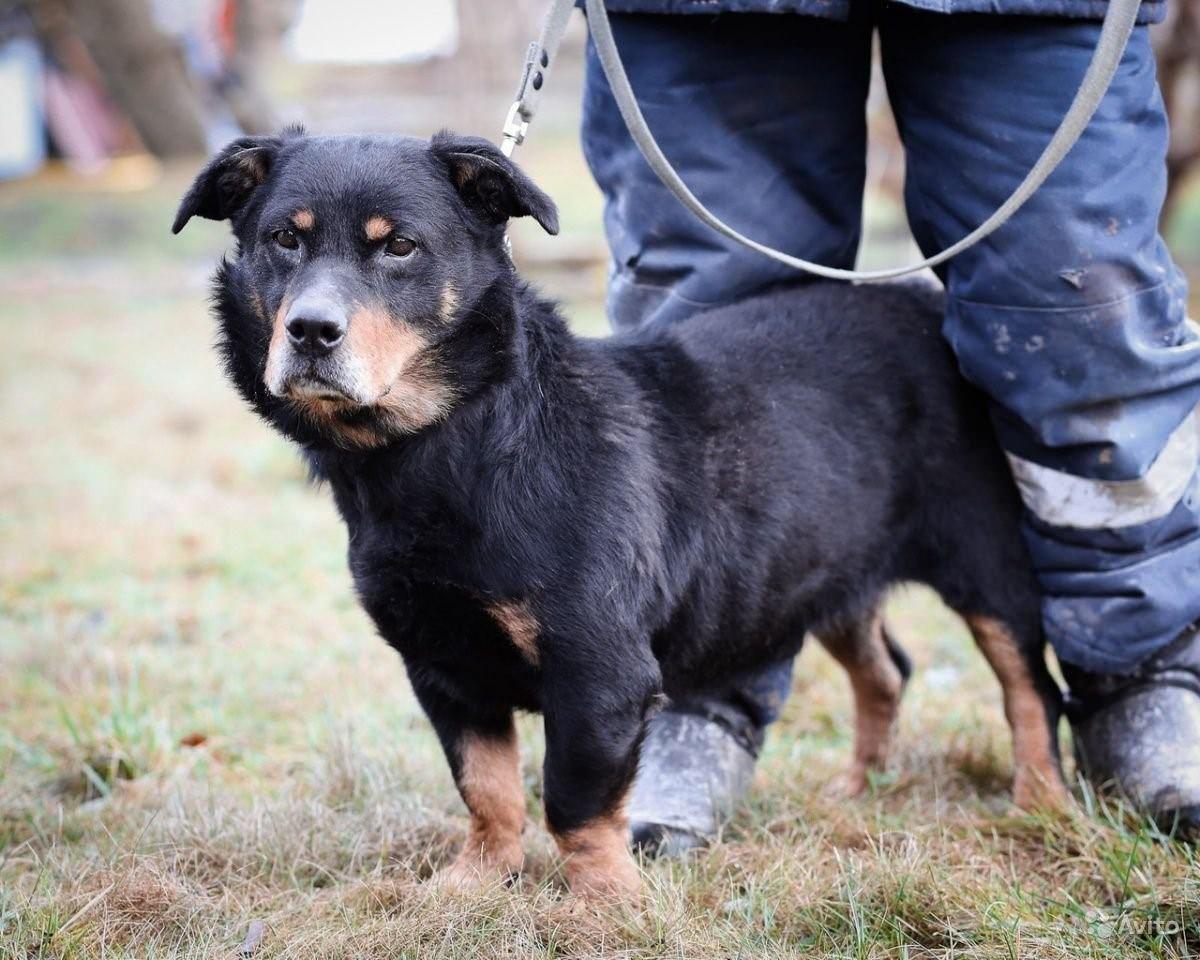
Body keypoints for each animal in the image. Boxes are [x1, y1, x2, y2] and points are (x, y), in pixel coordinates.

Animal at [175, 127, 1070, 902]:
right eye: (284, 241)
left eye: (399, 248)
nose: (310, 331)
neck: (459, 441)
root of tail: (925, 302)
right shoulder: (441, 665)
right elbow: (486, 788)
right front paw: (474, 884)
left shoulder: (598, 668)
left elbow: (573, 801)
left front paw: (605, 903)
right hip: (816, 570)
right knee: (886, 669)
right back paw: (861, 786)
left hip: (987, 558)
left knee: (1029, 687)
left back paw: (1044, 804)